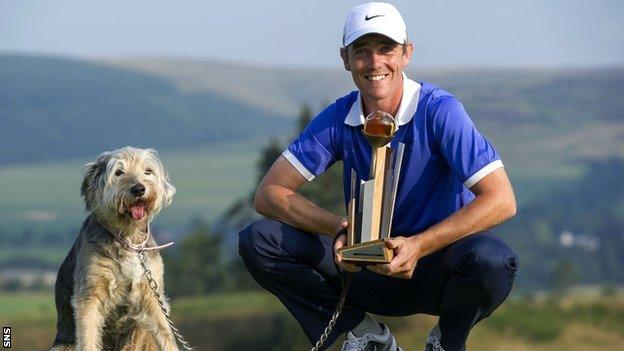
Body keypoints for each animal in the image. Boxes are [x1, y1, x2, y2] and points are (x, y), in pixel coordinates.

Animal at [51, 148, 179, 351]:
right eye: (119, 172)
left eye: (148, 171)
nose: (139, 189)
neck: (128, 240)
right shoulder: (89, 296)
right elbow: (87, 338)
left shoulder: (153, 295)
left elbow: (166, 335)